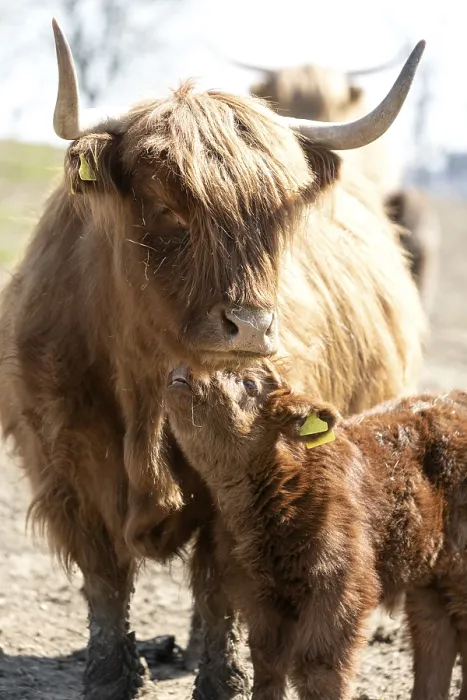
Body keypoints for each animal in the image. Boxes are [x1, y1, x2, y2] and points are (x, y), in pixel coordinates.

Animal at [0, 20, 426, 700]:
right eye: (163, 205)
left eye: (277, 213)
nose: (249, 324)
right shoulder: (64, 458)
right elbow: (104, 576)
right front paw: (110, 675)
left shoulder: (251, 467)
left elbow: (222, 578)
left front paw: (223, 678)